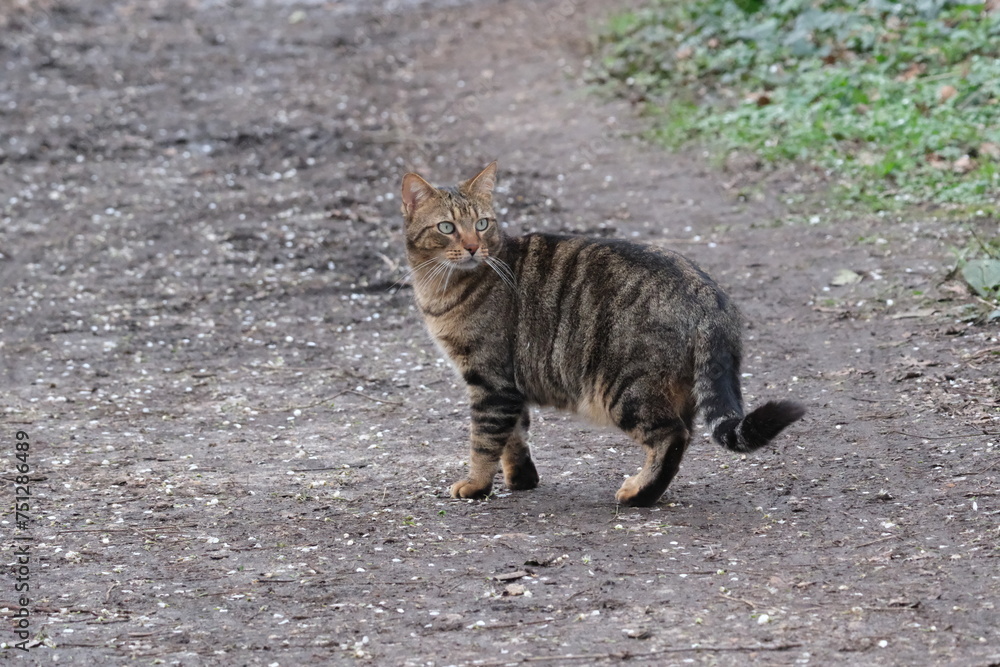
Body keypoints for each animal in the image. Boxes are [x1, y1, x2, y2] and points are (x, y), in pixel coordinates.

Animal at [398, 162, 804, 506]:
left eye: (482, 224)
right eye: (447, 227)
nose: (472, 247)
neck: (439, 289)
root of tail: (710, 294)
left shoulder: (490, 380)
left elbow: (484, 440)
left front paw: (476, 485)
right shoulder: (509, 385)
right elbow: (515, 435)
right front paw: (521, 479)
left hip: (624, 388)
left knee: (672, 436)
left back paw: (639, 494)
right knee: (682, 435)